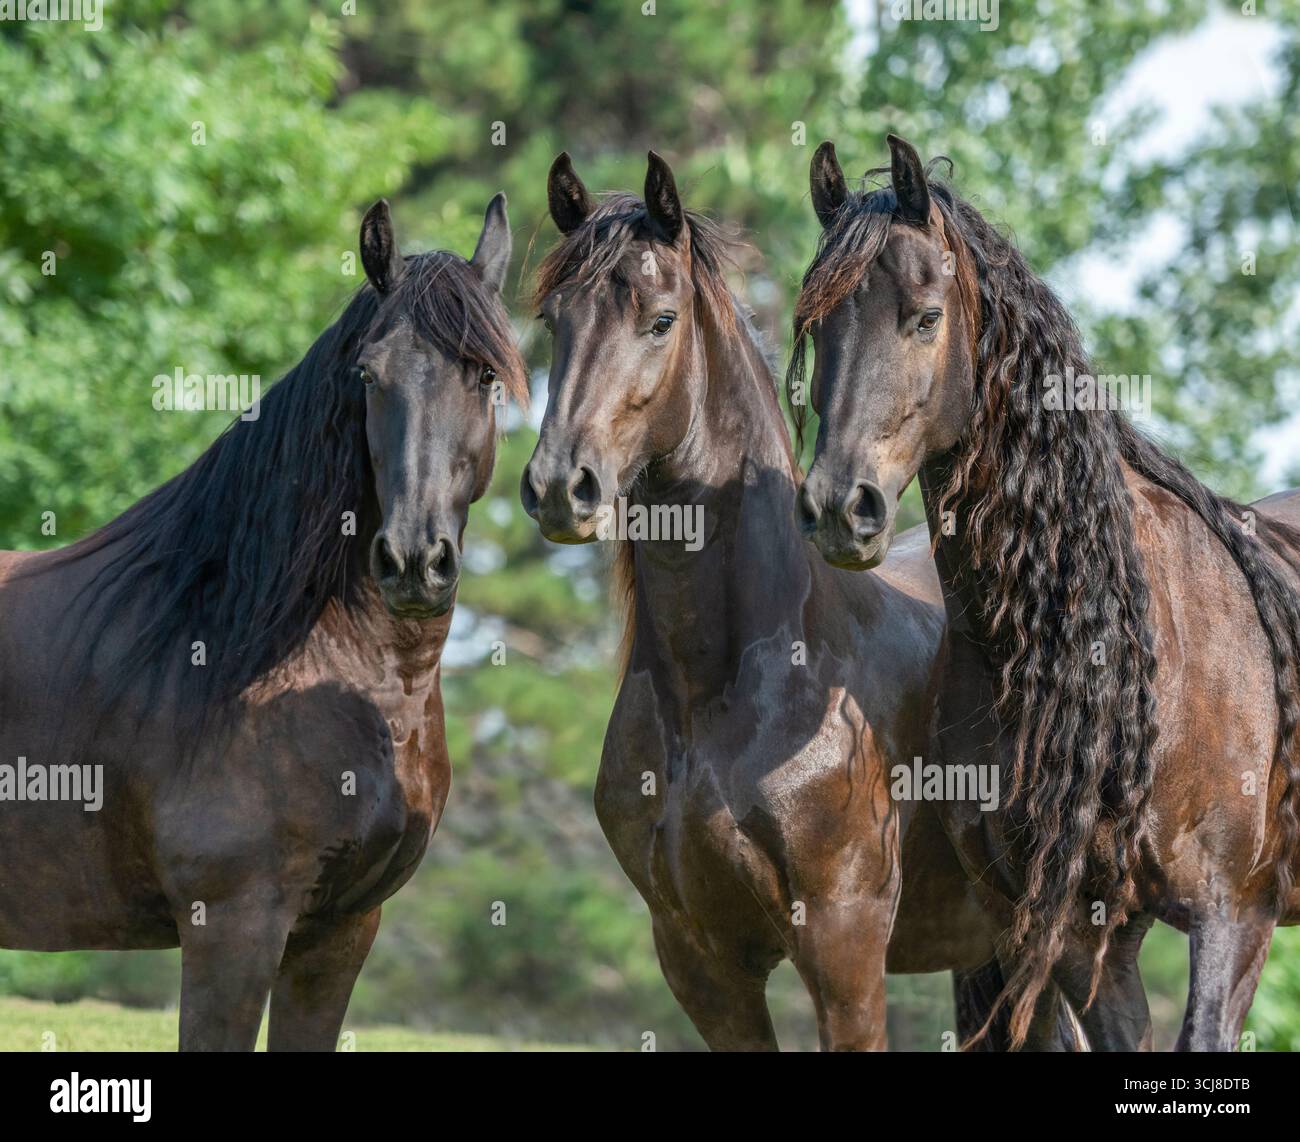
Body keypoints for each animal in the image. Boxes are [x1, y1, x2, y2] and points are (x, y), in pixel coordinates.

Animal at [519, 149, 1082, 1050]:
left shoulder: (843, 948)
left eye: (661, 321)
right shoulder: (701, 964)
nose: (557, 489)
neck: (720, 693)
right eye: (552, 323)